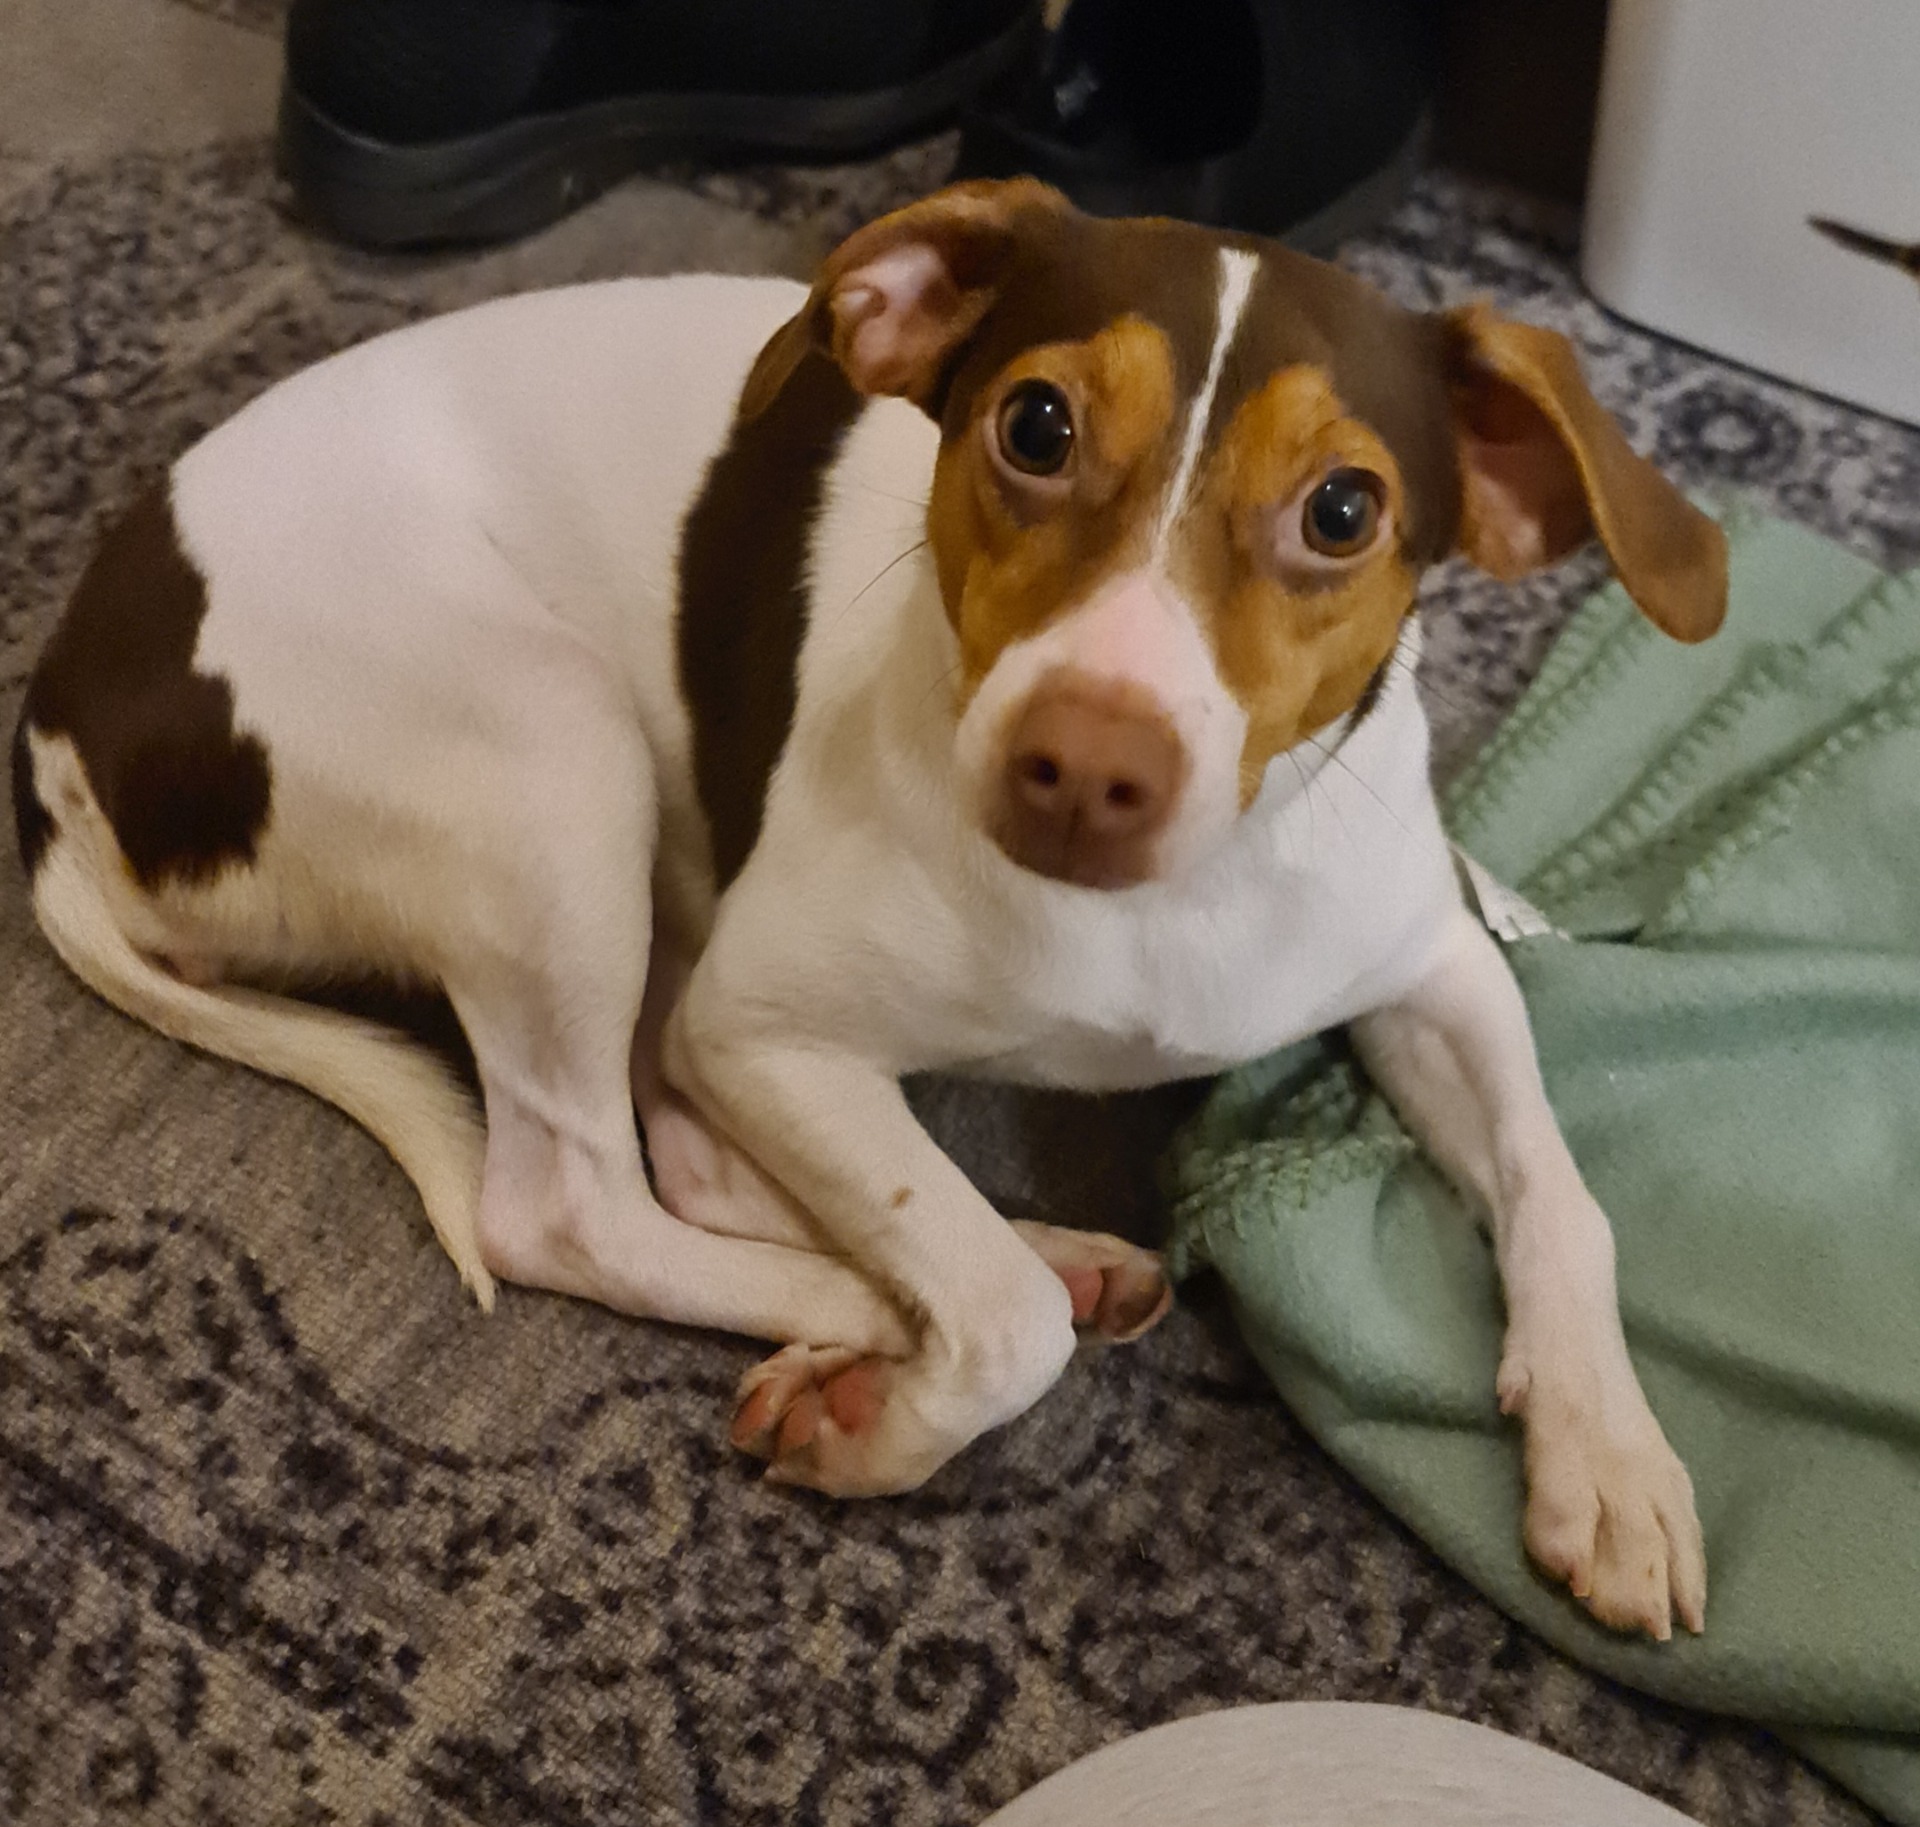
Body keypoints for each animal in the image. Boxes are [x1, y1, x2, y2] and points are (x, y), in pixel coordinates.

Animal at [11, 179, 1725, 1639]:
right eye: (1035, 422)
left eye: (1347, 510)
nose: (1083, 765)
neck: (1162, 912)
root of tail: (58, 725)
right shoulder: (767, 1027)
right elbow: (995, 1316)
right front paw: (892, 1406)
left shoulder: (1430, 959)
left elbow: (1561, 1190)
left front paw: (1614, 1458)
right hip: (561, 759)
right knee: (578, 1200)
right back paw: (878, 1308)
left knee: (688, 1144)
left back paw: (1017, 1259)